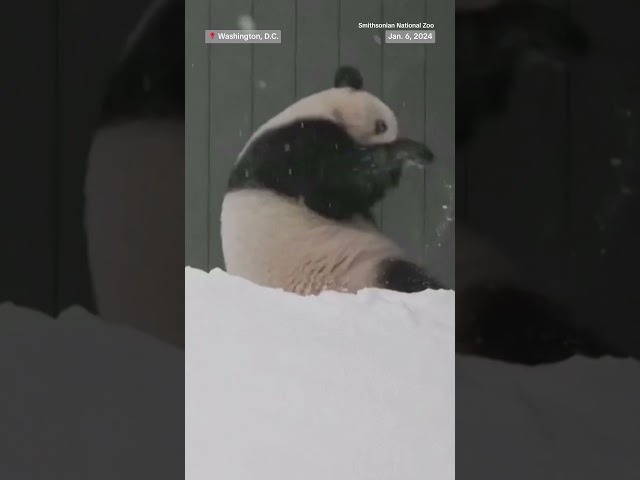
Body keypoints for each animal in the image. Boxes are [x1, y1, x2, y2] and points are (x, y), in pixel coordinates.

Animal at [221, 63, 444, 296]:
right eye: (381, 125)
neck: (324, 111)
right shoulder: (292, 151)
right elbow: (332, 189)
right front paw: (409, 152)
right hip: (349, 270)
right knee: (402, 276)